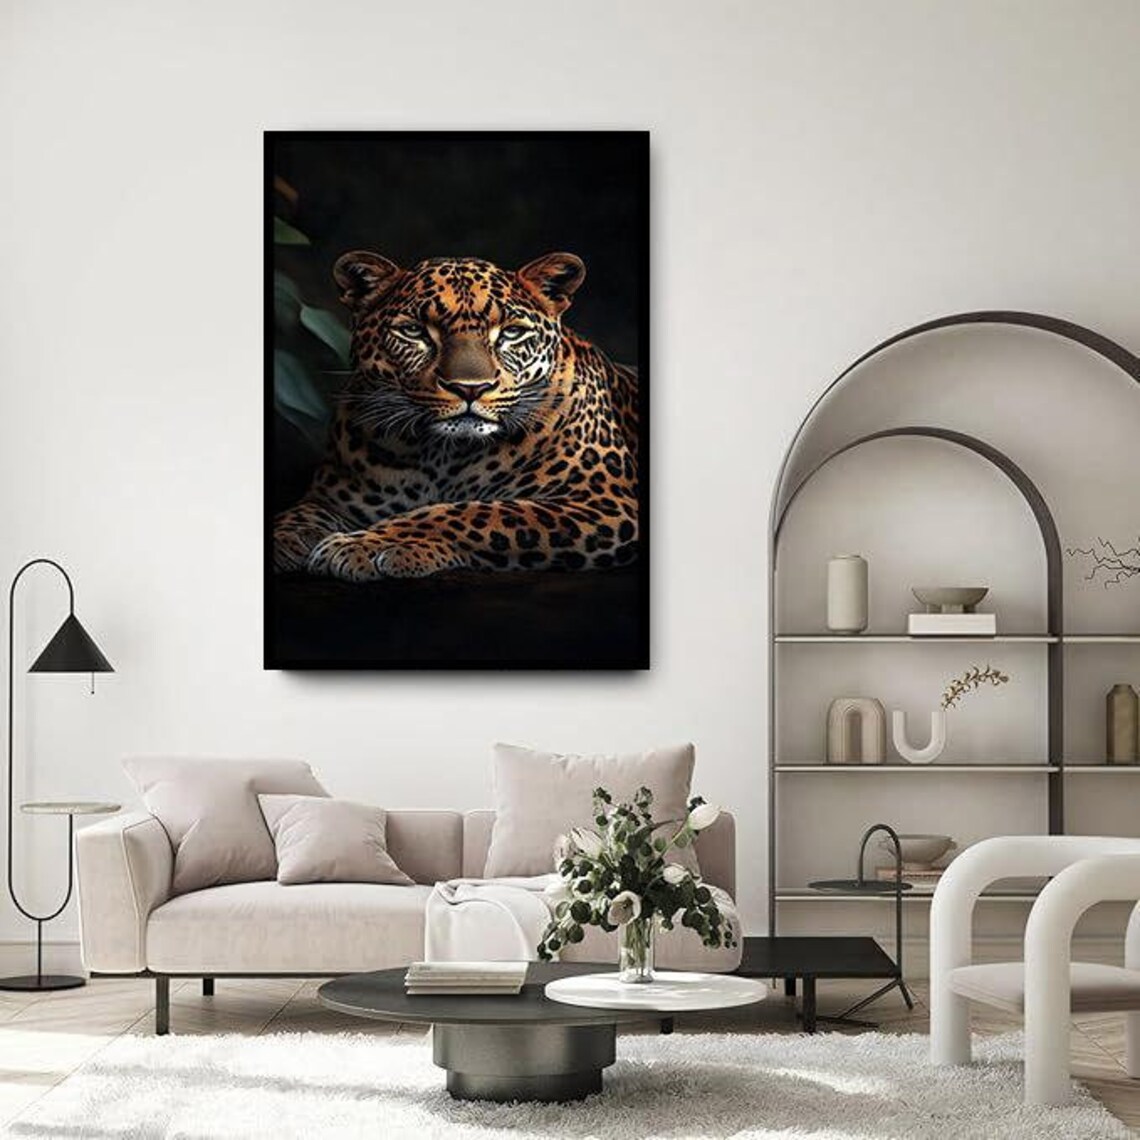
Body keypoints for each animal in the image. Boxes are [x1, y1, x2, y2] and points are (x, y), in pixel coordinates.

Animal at [273, 249, 640, 581]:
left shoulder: (604, 499)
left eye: (511, 333)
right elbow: (299, 513)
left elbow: (479, 512)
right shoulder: (332, 497)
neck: (442, 454)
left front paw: (371, 544)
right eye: (414, 331)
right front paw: (284, 539)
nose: (469, 388)